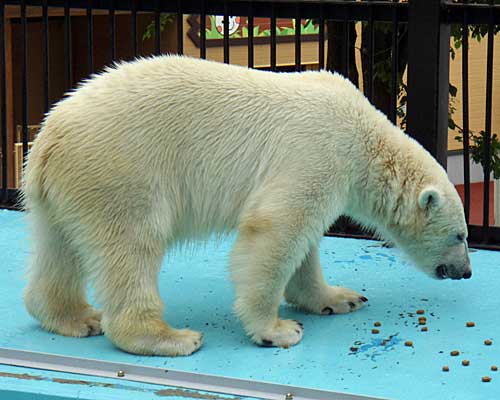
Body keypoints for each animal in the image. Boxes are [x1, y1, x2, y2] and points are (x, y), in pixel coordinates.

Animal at [21, 55, 470, 356]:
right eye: (459, 235)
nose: (465, 272)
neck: (365, 138)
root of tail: (49, 138)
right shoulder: (316, 152)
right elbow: (275, 232)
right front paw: (278, 329)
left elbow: (305, 247)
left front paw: (340, 298)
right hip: (121, 173)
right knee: (132, 247)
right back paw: (169, 337)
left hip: (62, 191)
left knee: (59, 248)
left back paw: (76, 317)